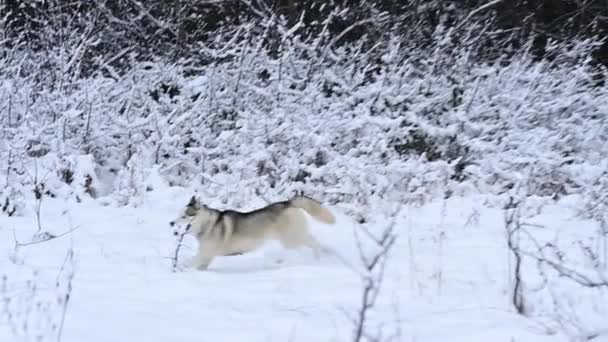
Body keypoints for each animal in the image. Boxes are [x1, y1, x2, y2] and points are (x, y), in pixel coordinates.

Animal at [169, 195, 334, 270]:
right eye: (178, 214)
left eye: (184, 216)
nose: (171, 223)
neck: (208, 224)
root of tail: (288, 202)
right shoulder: (206, 257)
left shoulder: (205, 253)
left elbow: (189, 261)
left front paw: (177, 267)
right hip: (293, 237)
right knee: (312, 241)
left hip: (291, 239)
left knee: (309, 244)